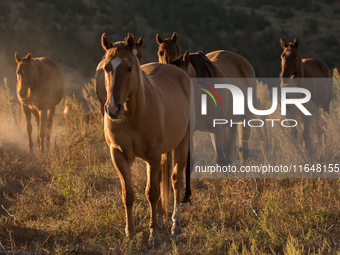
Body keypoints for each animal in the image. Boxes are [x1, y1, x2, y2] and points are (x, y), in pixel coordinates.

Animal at [100, 32, 191, 246]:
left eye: (129, 68)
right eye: (106, 68)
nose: (113, 109)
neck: (131, 114)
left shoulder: (154, 155)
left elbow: (152, 193)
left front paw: (154, 235)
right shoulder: (119, 155)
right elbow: (128, 194)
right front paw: (130, 233)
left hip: (182, 144)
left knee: (175, 180)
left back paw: (175, 223)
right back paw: (161, 219)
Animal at [158, 33, 256, 203]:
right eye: (160, 52)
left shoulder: (217, 129)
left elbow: (221, 160)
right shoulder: (190, 133)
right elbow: (188, 163)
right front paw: (184, 195)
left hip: (243, 119)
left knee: (242, 150)